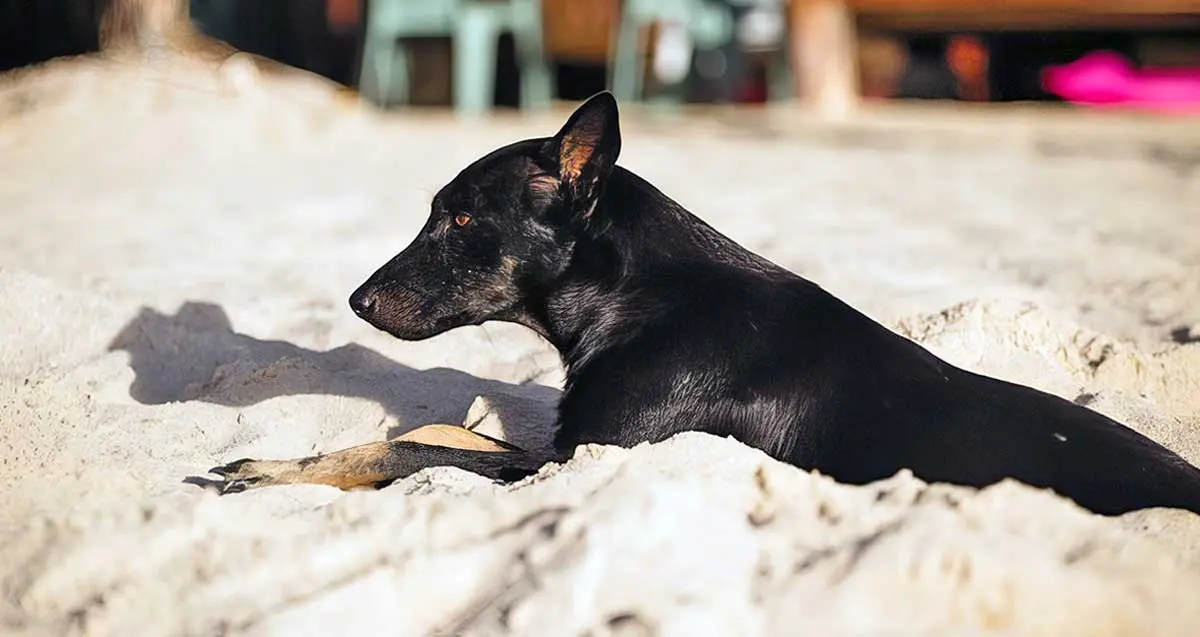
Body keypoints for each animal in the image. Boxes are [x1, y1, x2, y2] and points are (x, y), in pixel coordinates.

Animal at [211, 91, 1200, 518]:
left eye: (458, 219)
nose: (355, 299)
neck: (638, 297)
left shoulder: (579, 461)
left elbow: (419, 444)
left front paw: (274, 471)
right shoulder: (561, 448)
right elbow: (444, 430)